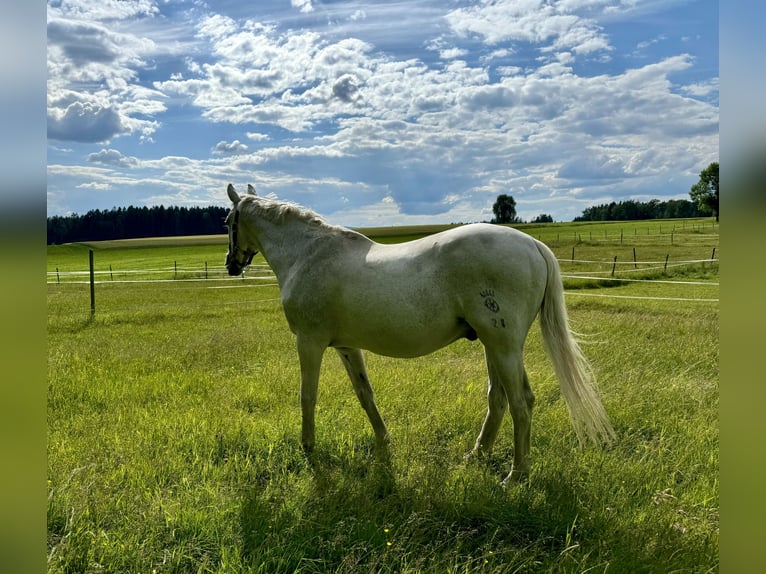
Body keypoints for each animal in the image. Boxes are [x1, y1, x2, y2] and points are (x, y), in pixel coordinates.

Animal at [224, 186, 616, 486]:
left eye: (228, 222)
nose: (231, 264)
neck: (307, 253)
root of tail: (532, 245)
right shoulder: (347, 347)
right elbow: (365, 395)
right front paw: (384, 444)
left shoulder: (309, 342)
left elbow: (308, 396)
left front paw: (308, 448)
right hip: (493, 345)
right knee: (499, 399)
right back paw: (477, 454)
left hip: (503, 345)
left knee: (521, 402)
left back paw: (515, 475)